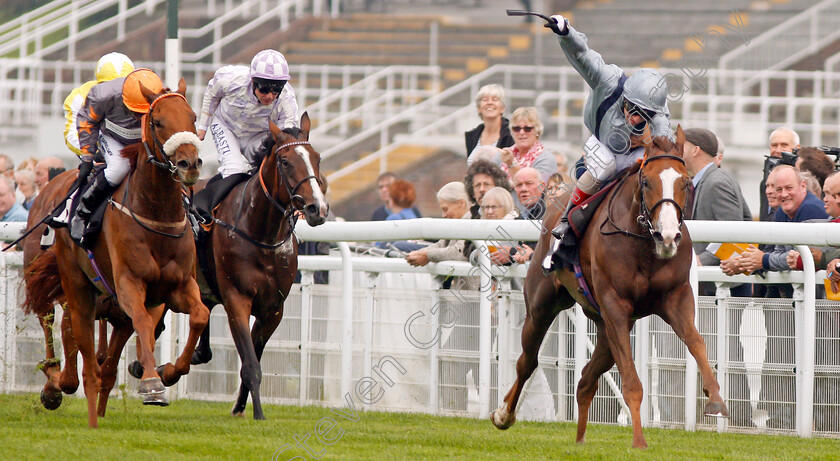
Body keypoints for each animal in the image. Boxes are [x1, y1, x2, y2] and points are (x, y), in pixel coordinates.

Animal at [23, 80, 207, 428]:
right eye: (158, 122)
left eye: (192, 117)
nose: (189, 165)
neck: (156, 215)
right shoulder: (128, 285)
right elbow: (143, 325)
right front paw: (151, 383)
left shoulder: (176, 288)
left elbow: (200, 316)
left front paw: (170, 372)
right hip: (72, 286)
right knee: (61, 329)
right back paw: (58, 386)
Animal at [492, 126, 728, 446]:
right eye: (646, 181)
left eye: (686, 182)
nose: (668, 236)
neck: (644, 246)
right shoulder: (615, 305)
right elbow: (631, 381)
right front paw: (639, 441)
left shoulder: (676, 298)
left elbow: (697, 343)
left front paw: (715, 399)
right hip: (543, 307)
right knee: (527, 362)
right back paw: (504, 415)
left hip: (604, 328)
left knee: (585, 380)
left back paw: (580, 441)